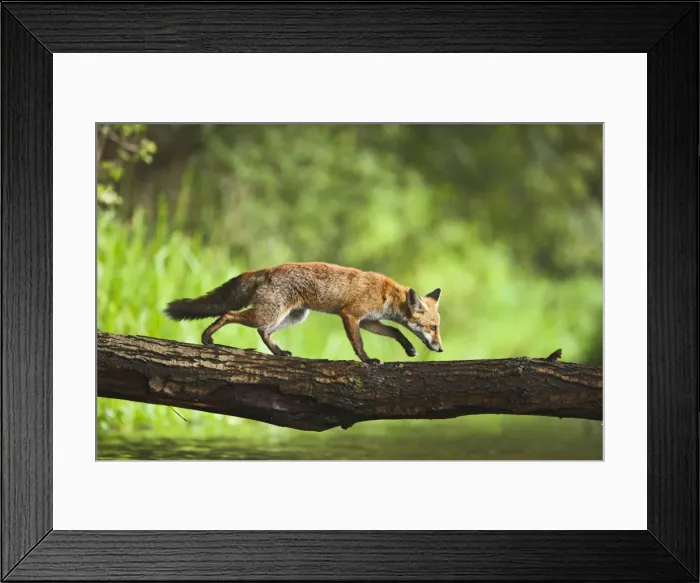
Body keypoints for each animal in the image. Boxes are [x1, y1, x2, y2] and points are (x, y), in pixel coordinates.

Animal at [164, 261, 443, 364]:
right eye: (433, 328)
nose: (440, 349)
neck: (386, 294)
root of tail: (266, 270)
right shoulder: (350, 315)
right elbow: (359, 345)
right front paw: (367, 360)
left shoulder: (369, 321)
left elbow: (396, 330)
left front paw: (409, 348)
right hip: (268, 313)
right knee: (229, 315)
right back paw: (207, 338)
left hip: (293, 316)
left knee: (263, 332)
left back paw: (278, 352)